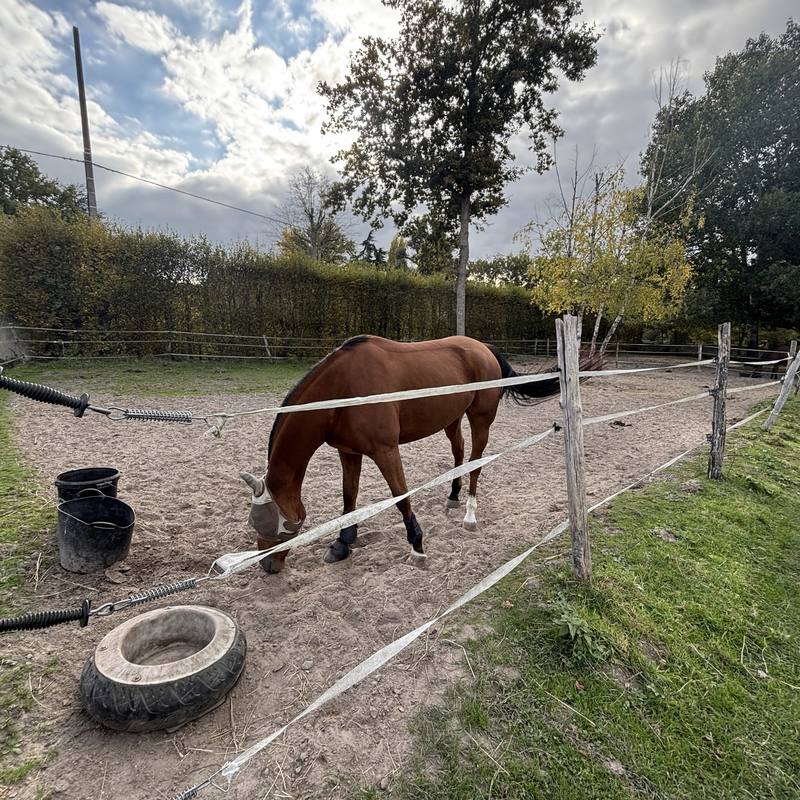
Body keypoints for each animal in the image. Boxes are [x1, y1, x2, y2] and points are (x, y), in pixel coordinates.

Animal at [240, 334, 594, 573]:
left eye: (279, 527)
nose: (268, 566)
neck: (342, 390)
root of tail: (483, 348)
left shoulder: (385, 451)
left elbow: (401, 496)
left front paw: (417, 545)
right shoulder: (348, 452)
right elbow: (349, 498)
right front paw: (342, 543)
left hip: (481, 419)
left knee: (475, 462)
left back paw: (469, 514)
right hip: (452, 420)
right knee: (459, 455)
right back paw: (453, 496)